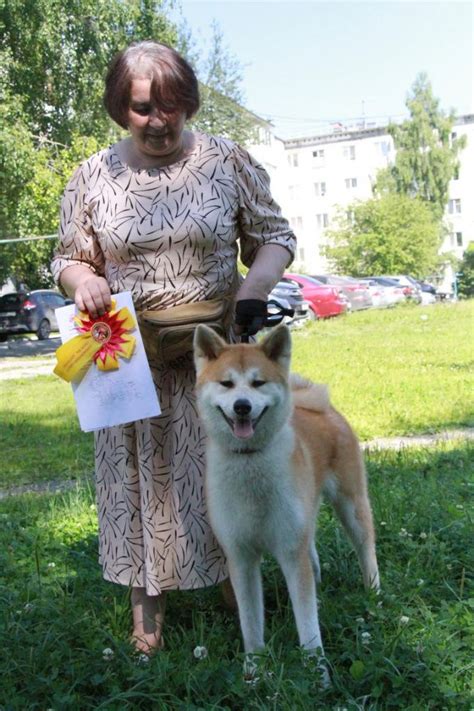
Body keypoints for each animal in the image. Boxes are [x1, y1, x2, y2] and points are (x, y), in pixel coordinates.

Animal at [193, 322, 378, 680]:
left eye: (258, 383)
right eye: (226, 383)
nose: (241, 406)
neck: (250, 466)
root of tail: (320, 405)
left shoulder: (291, 553)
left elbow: (308, 628)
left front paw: (318, 676)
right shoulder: (241, 557)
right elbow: (251, 624)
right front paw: (254, 671)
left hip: (351, 506)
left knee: (366, 549)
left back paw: (374, 592)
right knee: (313, 553)